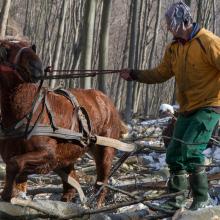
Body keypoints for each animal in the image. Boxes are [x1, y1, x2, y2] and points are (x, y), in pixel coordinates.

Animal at [0, 39, 126, 206]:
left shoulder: (48, 154)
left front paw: (7, 194)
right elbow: (15, 170)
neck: (27, 112)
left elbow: (15, 163)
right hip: (69, 155)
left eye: (32, 47)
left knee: (101, 184)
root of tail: (106, 100)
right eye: (5, 50)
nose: (37, 67)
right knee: (71, 188)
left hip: (105, 150)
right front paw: (14, 195)